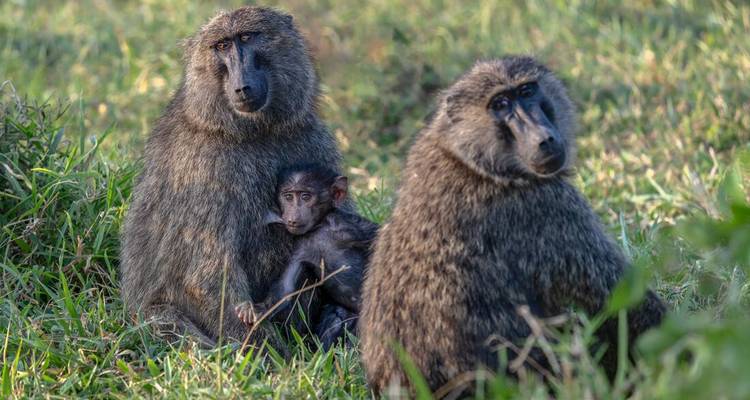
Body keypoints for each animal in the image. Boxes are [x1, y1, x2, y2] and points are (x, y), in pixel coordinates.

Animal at [119, 6, 347, 349]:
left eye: (247, 38)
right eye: (222, 46)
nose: (242, 87)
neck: (253, 131)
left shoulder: (313, 141)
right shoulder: (204, 170)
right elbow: (206, 273)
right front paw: (271, 354)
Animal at [234, 164, 379, 349]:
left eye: (305, 196)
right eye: (288, 197)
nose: (293, 214)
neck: (319, 228)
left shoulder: (349, 226)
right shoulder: (299, 249)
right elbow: (285, 288)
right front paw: (257, 309)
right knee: (335, 321)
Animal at [359, 56, 667, 395]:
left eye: (527, 91)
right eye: (500, 104)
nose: (544, 139)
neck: (470, 159)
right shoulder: (548, 207)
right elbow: (622, 301)